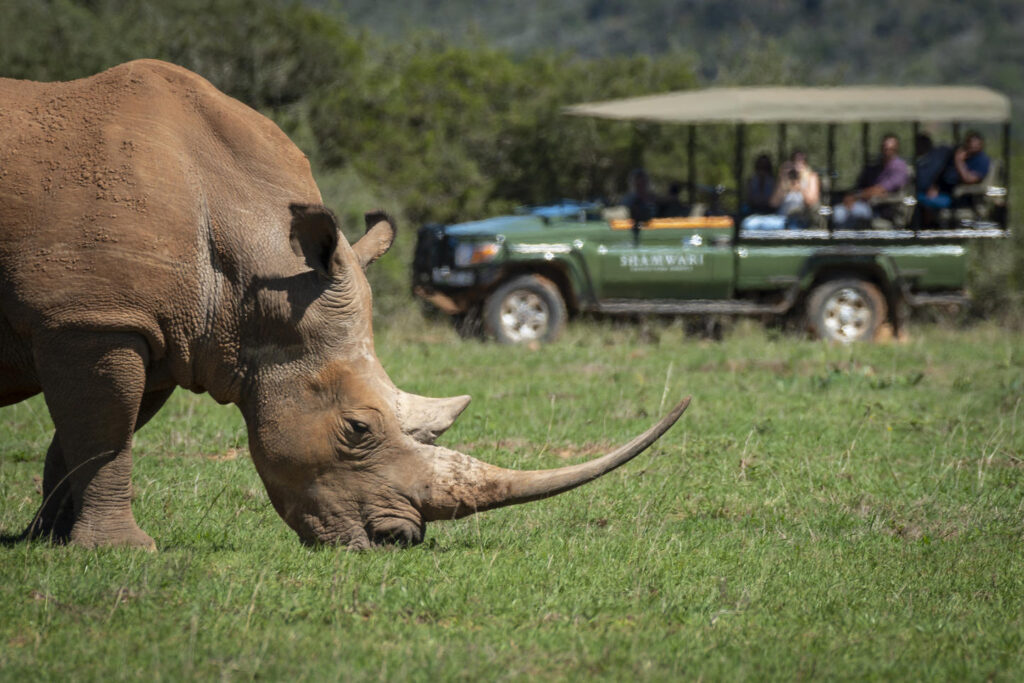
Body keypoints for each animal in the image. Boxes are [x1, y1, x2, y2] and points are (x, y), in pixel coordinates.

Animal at [0, 60, 689, 550]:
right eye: (358, 429)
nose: (398, 540)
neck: (252, 284)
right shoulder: (94, 319)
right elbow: (104, 433)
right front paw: (116, 551)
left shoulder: (153, 328)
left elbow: (87, 436)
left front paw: (46, 543)